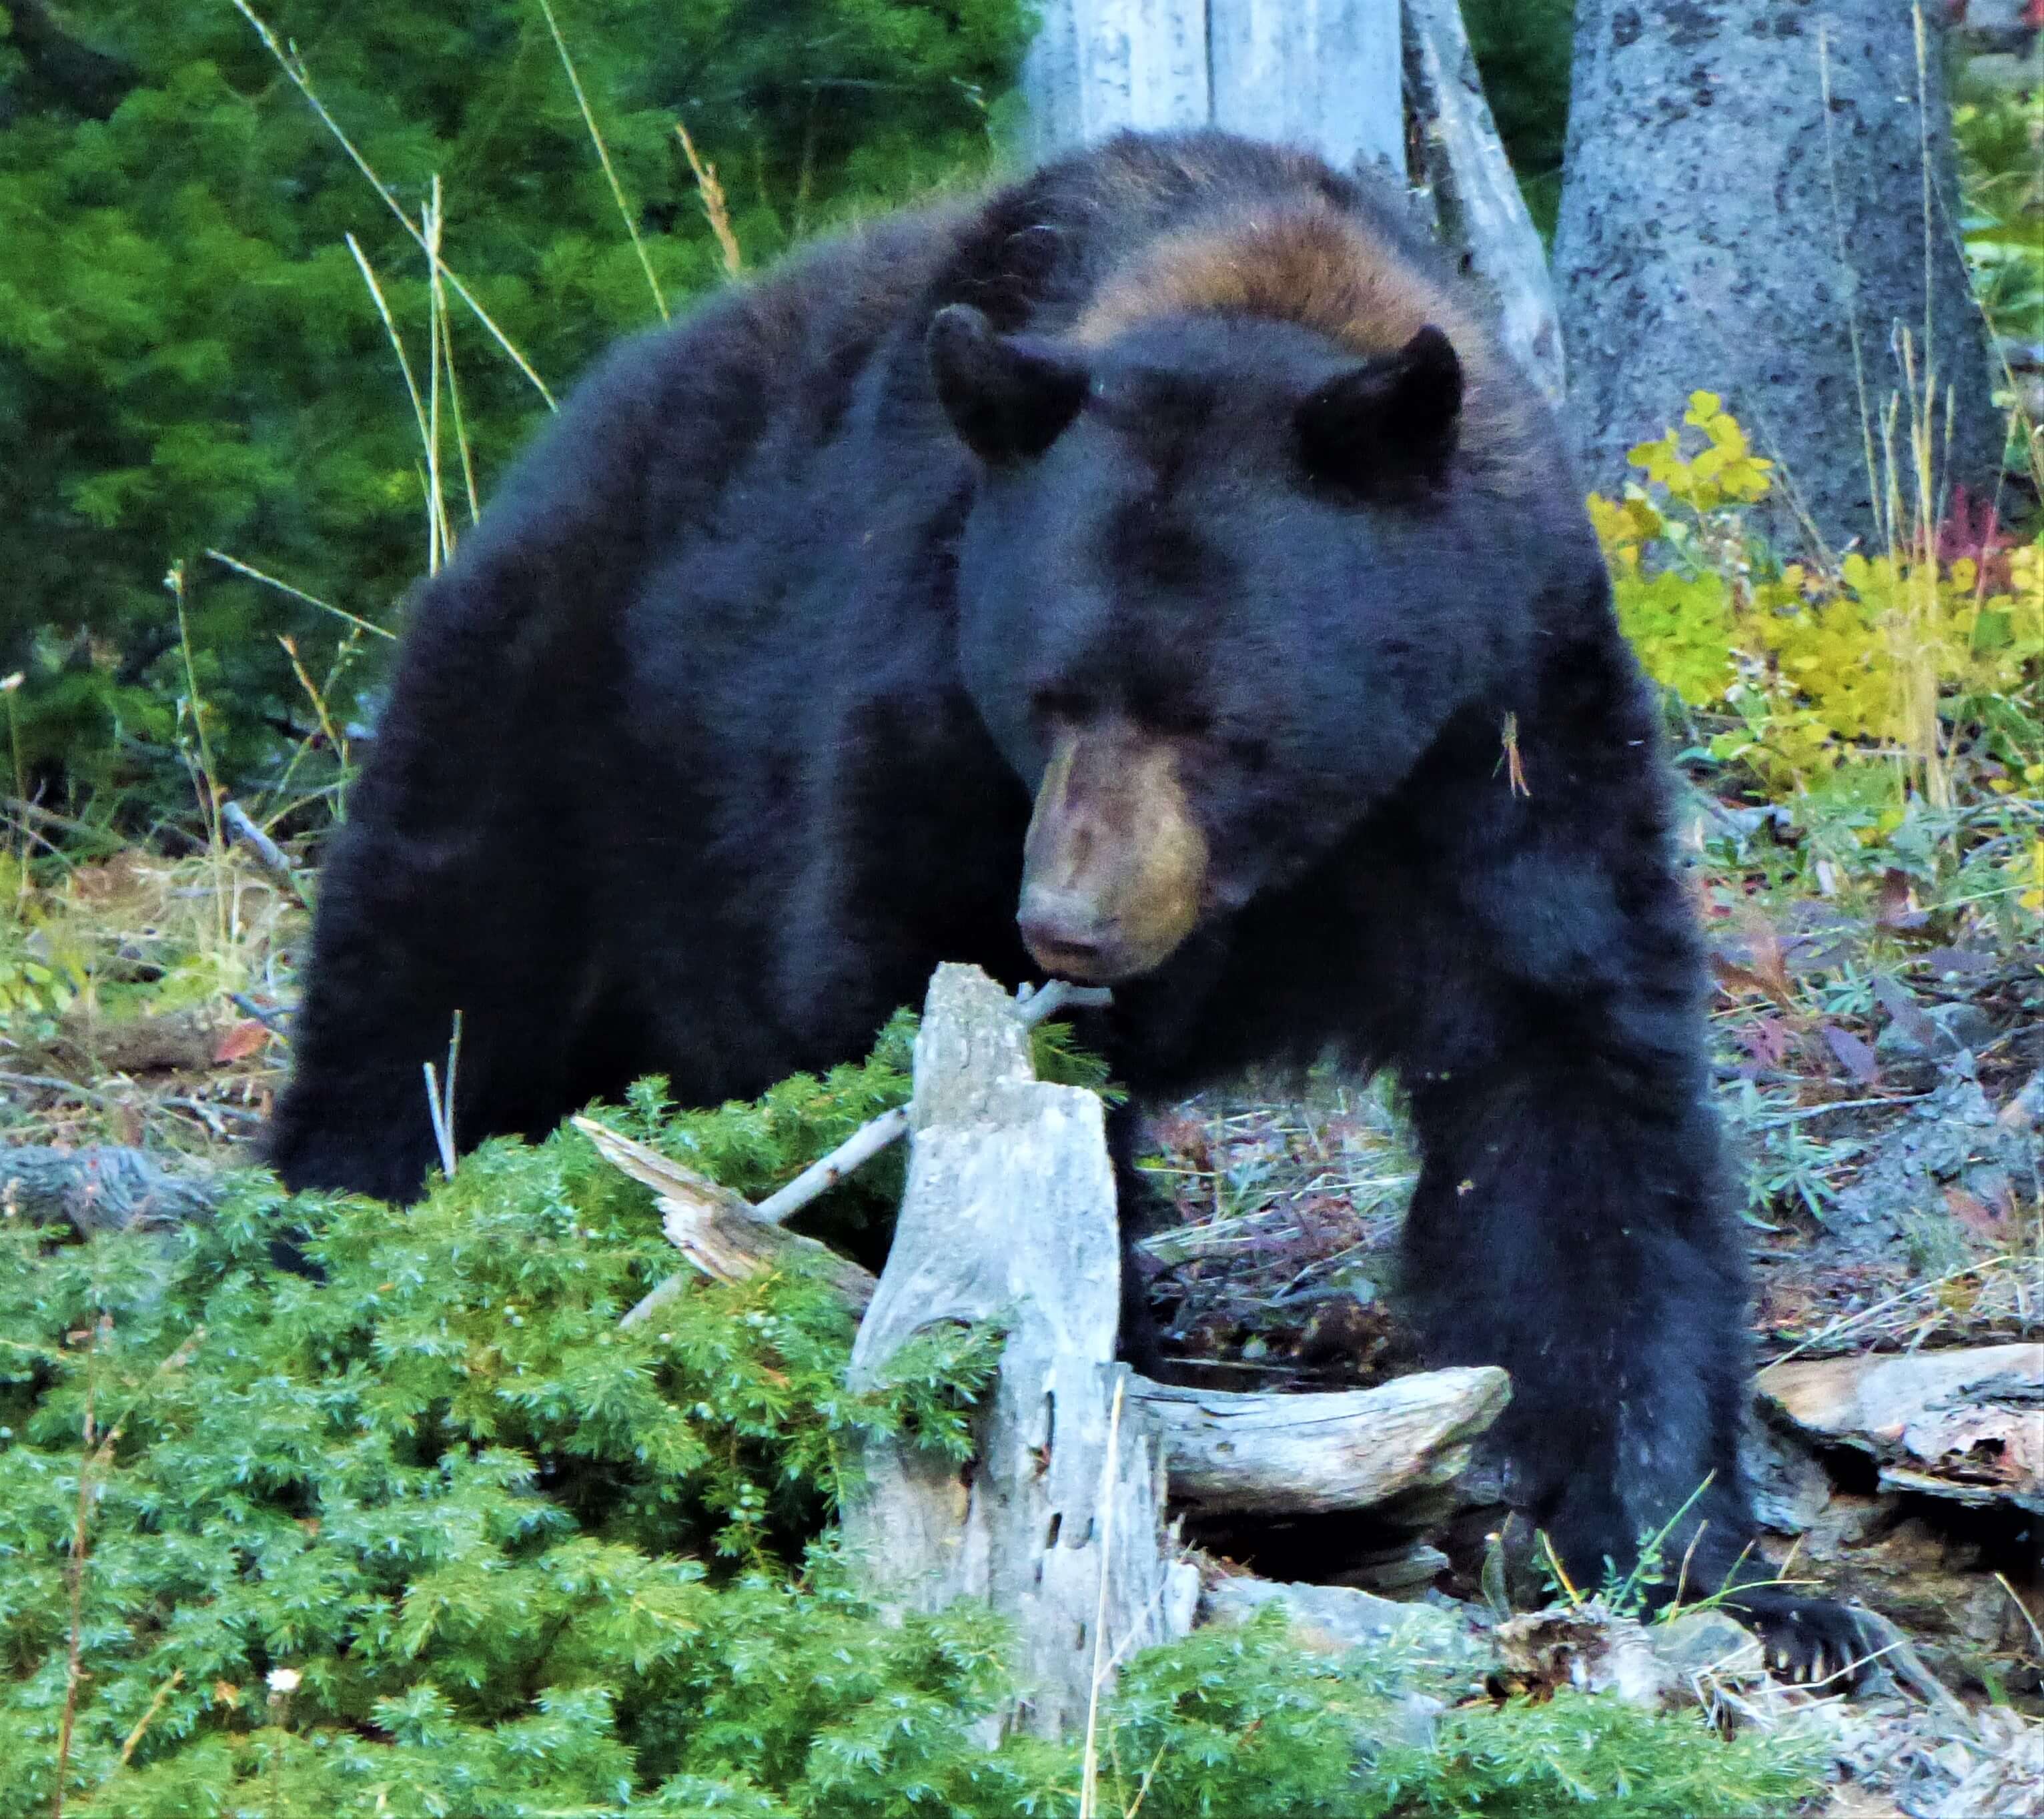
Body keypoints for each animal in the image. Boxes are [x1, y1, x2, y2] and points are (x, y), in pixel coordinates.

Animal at [272, 131, 1872, 1676]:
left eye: (1217, 721)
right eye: (1047, 696)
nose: (1069, 926)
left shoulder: (1501, 734)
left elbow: (1574, 1106)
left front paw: (1725, 1569)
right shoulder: (921, 695)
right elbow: (898, 1025)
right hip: (543, 742)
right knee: (418, 1020)